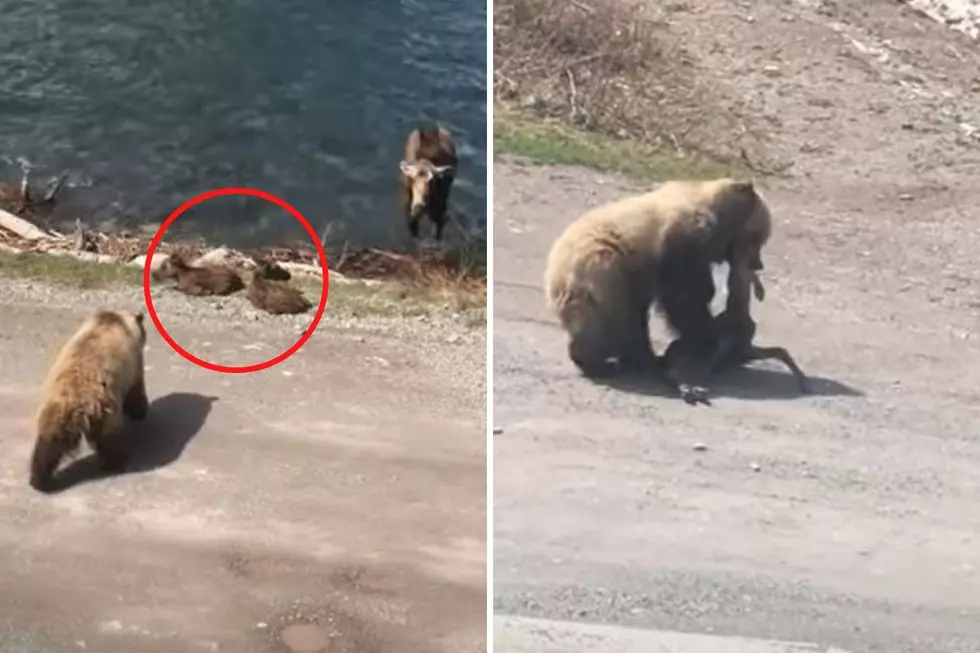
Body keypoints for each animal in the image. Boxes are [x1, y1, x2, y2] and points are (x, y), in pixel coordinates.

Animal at [29, 308, 149, 492]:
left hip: (55, 407)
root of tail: (77, 401)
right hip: (105, 406)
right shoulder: (134, 362)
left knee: (49, 442)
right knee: (108, 436)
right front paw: (139, 411)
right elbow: (136, 392)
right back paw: (117, 460)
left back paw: (40, 479)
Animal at [544, 180, 772, 402]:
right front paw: (707, 334)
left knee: (633, 322)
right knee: (612, 321)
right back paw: (599, 362)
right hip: (606, 272)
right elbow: (685, 297)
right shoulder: (680, 243)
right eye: (759, 238)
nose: (758, 264)